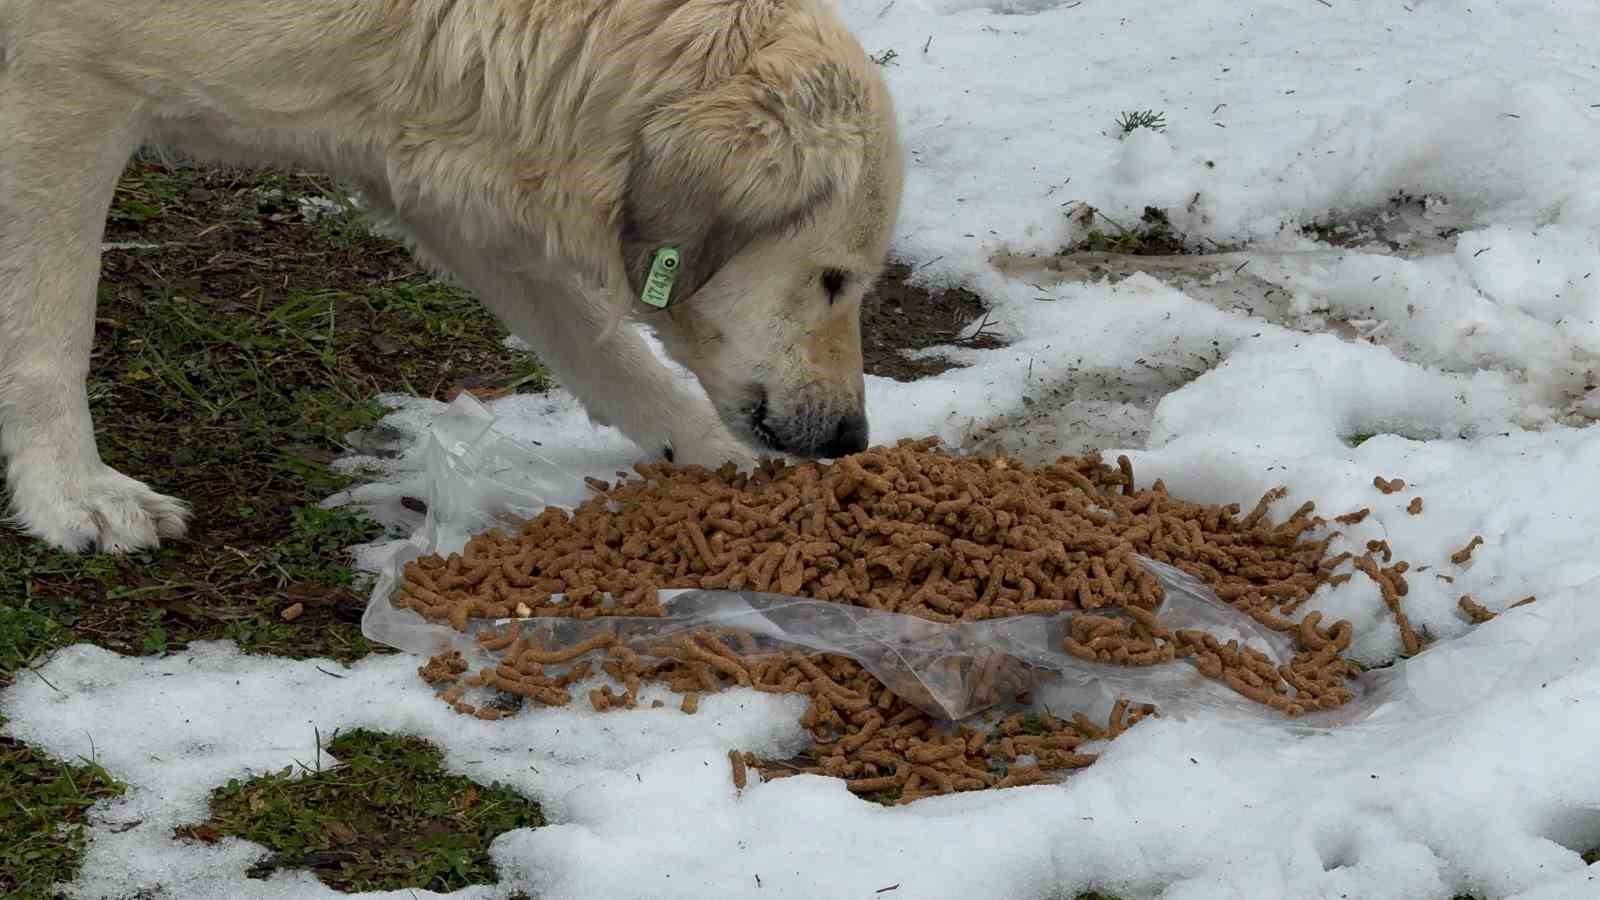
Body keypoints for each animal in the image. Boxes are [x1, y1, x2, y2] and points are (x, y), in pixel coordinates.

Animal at [0, 0, 902, 550]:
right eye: (834, 280)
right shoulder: (60, 86)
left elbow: (602, 353)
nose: (850, 441)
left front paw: (711, 456)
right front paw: (71, 493)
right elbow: (51, 330)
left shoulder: (428, 159)